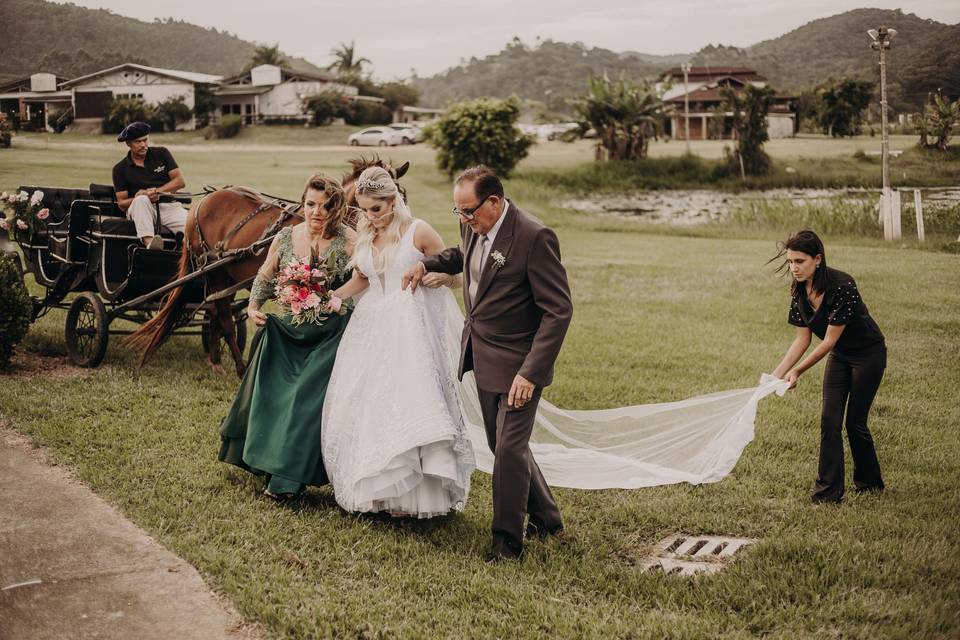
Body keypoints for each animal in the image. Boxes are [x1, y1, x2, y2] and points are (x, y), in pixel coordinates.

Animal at [127, 156, 408, 376]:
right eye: (383, 201)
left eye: (402, 196)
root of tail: (203, 200)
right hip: (216, 272)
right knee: (225, 319)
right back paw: (240, 369)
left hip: (226, 277)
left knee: (215, 312)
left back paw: (216, 361)